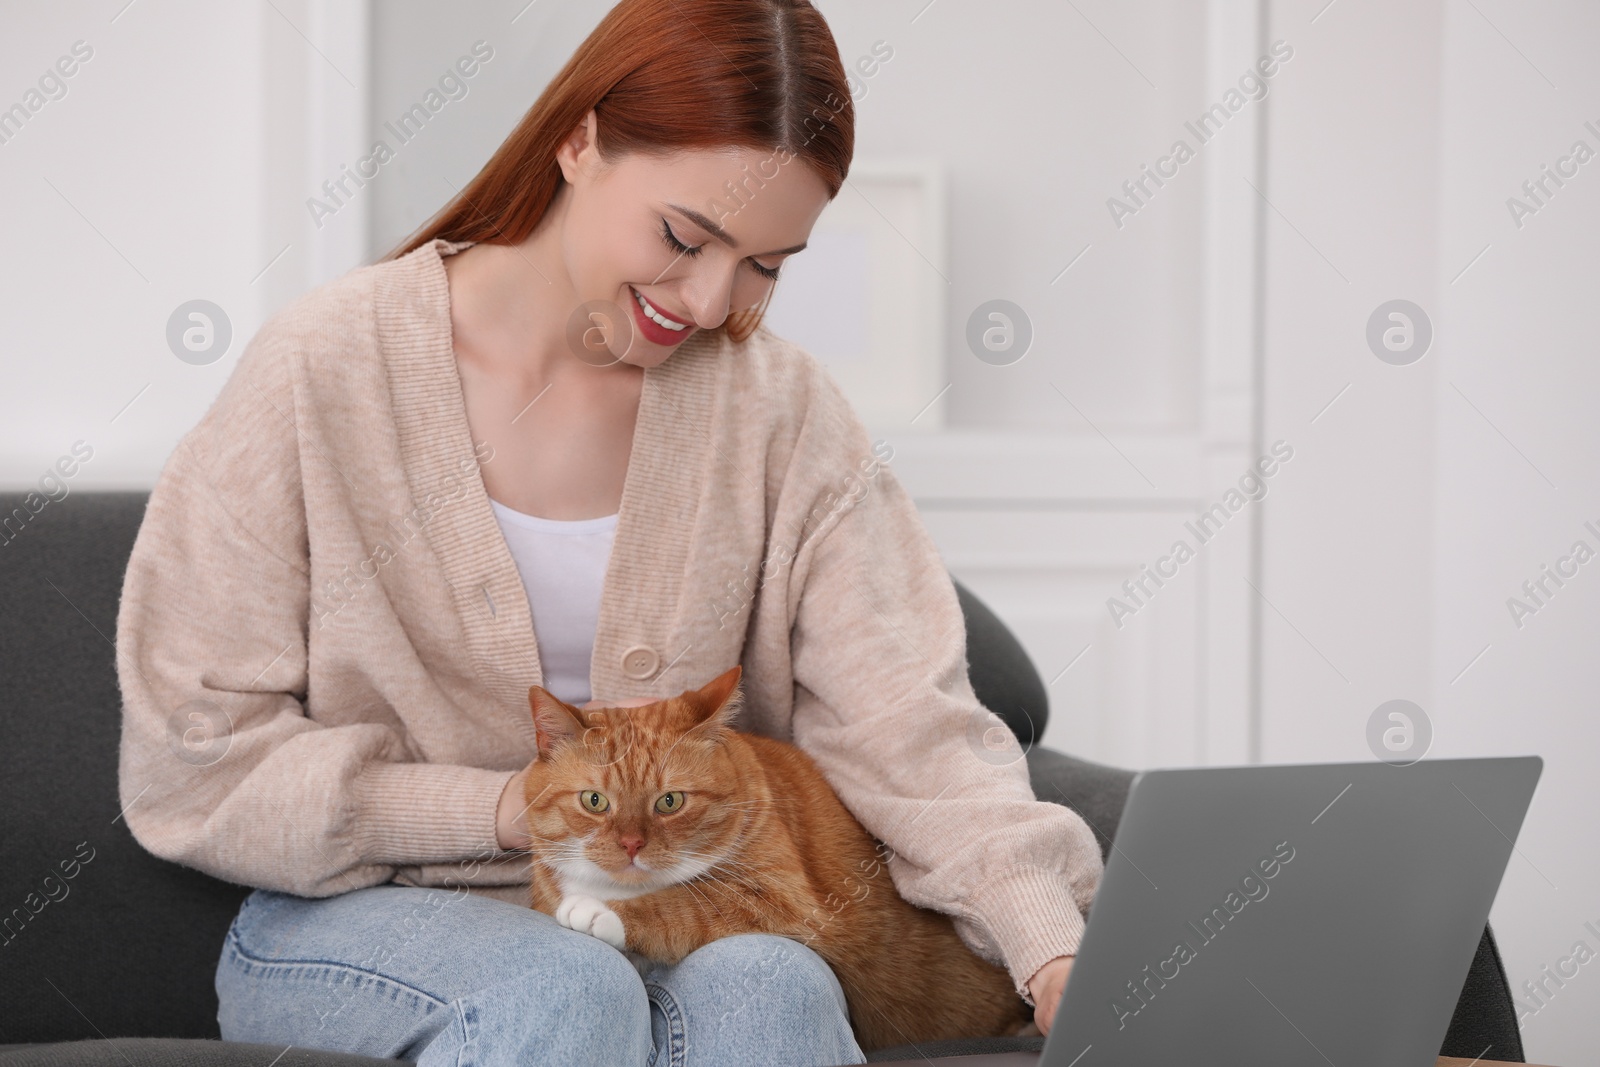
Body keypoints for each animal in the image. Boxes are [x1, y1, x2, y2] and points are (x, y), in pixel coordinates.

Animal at [524, 668, 1036, 1049]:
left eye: (670, 802)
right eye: (595, 801)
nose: (631, 844)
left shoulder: (787, 904)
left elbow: (681, 905)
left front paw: (601, 911)